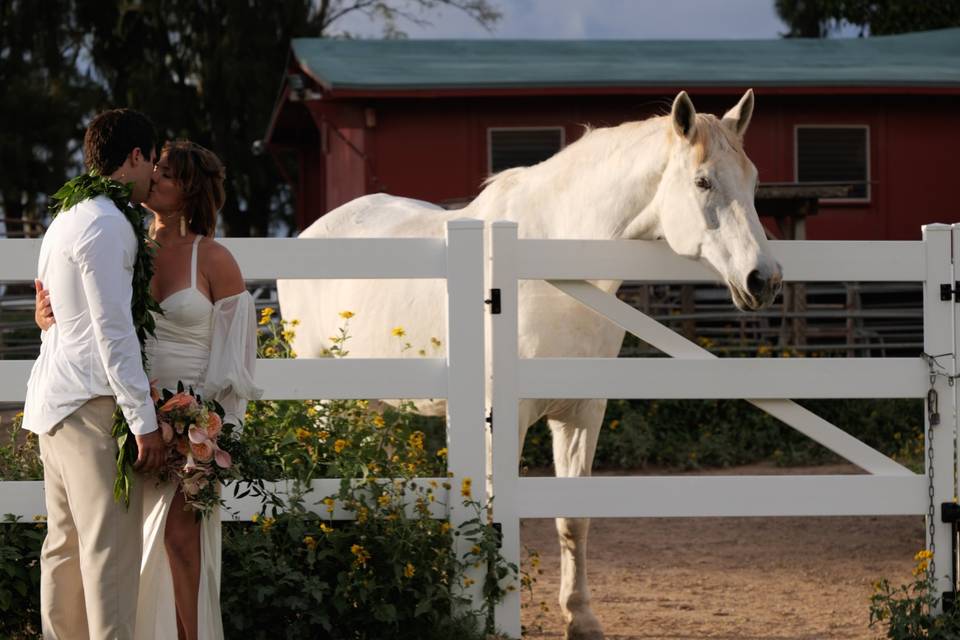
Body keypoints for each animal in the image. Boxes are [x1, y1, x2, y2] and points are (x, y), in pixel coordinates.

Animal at [276, 91, 780, 640]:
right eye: (702, 181)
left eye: (754, 180)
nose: (764, 279)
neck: (550, 266)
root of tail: (313, 231)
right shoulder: (502, 419)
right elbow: (494, 520)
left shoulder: (582, 414)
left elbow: (573, 520)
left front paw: (581, 618)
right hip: (329, 402)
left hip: (375, 405)